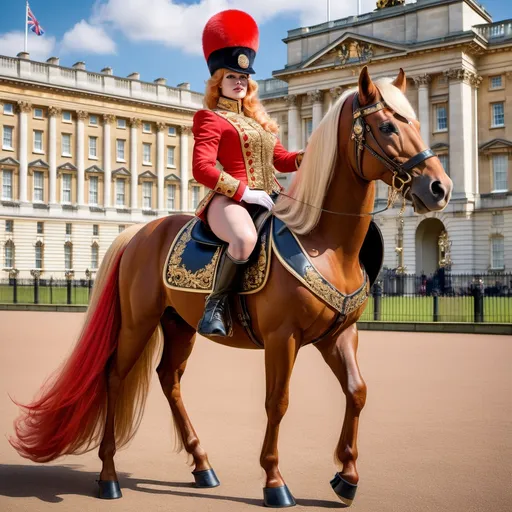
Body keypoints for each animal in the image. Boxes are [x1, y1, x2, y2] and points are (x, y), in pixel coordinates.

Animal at [10, 68, 452, 508]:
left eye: (417, 122)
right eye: (387, 126)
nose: (440, 188)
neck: (325, 240)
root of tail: (140, 231)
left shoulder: (339, 334)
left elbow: (357, 391)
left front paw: (347, 475)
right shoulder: (282, 338)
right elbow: (277, 402)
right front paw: (274, 481)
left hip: (179, 324)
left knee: (168, 378)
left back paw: (201, 464)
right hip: (138, 322)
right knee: (115, 376)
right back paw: (109, 476)